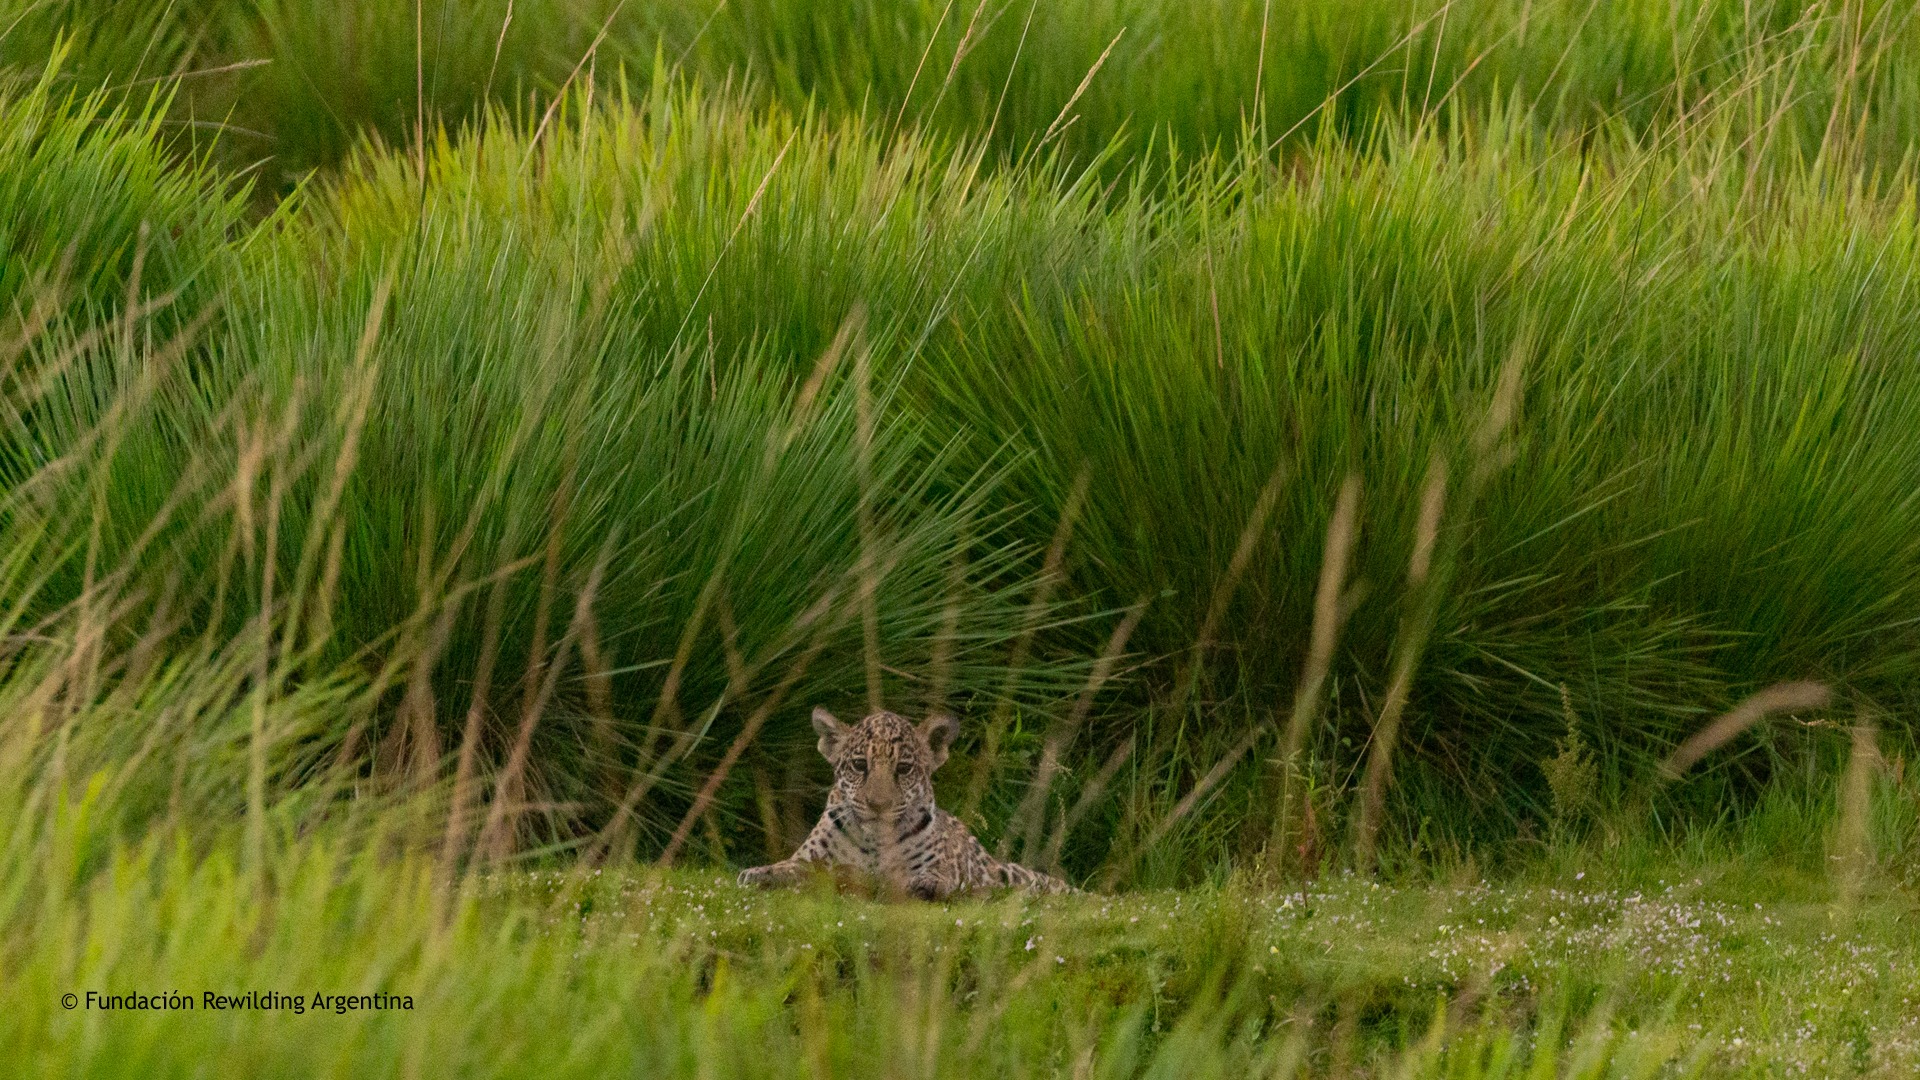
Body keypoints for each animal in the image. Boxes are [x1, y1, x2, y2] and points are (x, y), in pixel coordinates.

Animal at [737, 707, 1075, 900]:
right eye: (859, 765)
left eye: (903, 768)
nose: (879, 804)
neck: (874, 842)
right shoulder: (812, 858)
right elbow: (791, 865)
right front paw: (761, 873)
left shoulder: (946, 865)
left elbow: (939, 873)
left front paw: (926, 883)